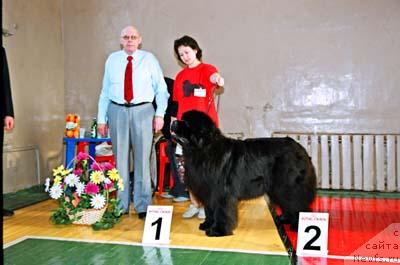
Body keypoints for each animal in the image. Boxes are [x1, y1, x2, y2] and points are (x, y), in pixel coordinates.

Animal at [170, 109, 318, 235]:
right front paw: (207, 225)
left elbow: (220, 211)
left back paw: (297, 226)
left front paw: (218, 230)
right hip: (277, 187)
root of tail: (300, 148)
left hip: (287, 185)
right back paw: (285, 219)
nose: (173, 122)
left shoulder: (220, 192)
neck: (204, 149)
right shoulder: (208, 190)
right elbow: (209, 210)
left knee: (297, 203)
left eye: (187, 123)